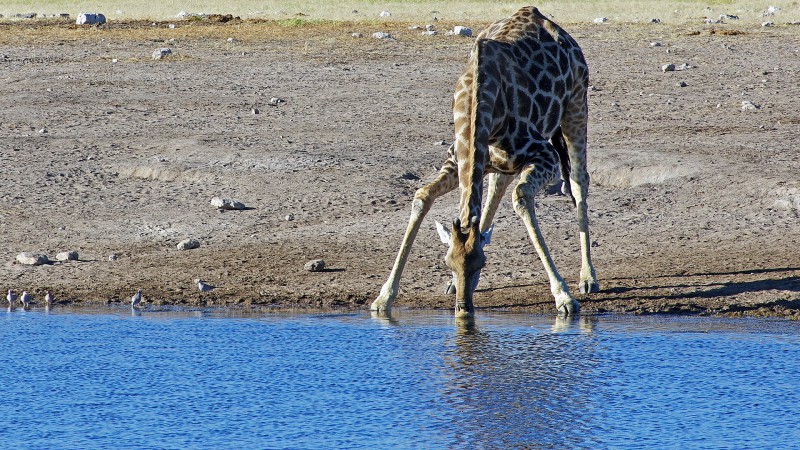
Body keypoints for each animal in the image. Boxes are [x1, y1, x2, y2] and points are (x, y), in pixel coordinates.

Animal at [372, 6, 596, 316]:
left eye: (483, 263)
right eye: (447, 262)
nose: (463, 308)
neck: (479, 102)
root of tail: (545, 19)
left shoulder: (544, 155)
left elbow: (521, 197)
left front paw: (563, 296)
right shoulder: (457, 161)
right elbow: (422, 196)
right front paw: (384, 298)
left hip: (576, 106)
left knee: (578, 182)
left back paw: (588, 278)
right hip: (502, 161)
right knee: (496, 189)